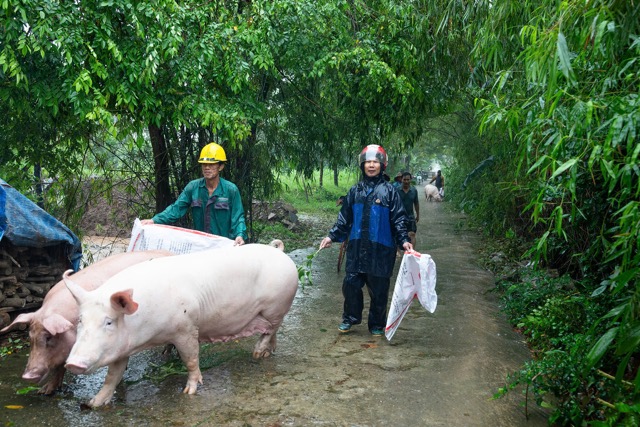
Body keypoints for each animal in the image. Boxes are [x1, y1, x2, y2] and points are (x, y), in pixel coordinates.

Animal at [0, 251, 172, 394]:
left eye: (48, 337)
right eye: (30, 337)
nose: (27, 376)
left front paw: (46, 392)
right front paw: (44, 392)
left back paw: (165, 355)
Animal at [62, 241, 298, 408]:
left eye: (109, 322)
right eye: (80, 320)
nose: (72, 363)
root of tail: (280, 253)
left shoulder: (186, 327)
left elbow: (191, 358)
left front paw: (189, 392)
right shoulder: (122, 348)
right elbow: (113, 375)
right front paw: (93, 403)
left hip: (276, 306)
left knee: (272, 328)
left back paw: (257, 354)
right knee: (272, 332)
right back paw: (268, 353)